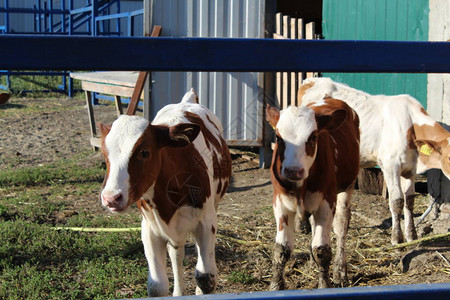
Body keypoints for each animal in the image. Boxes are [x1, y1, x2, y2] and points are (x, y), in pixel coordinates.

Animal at [100, 88, 230, 296]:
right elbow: (157, 285)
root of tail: (187, 101)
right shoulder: (150, 228)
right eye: (105, 154)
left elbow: (206, 278)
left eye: (144, 152)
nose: (111, 198)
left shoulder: (206, 222)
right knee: (176, 253)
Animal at [266, 97, 360, 290]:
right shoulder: (279, 202)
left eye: (313, 137)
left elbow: (322, 250)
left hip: (347, 188)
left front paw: (324, 284)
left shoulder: (326, 202)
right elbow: (281, 248)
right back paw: (311, 264)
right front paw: (276, 286)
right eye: (278, 138)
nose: (293, 171)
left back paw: (340, 271)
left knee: (341, 228)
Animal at [298, 78, 450, 246]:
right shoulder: (391, 165)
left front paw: (411, 236)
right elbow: (397, 201)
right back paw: (303, 227)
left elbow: (409, 201)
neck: (410, 124)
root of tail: (312, 80)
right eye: (449, 157)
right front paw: (397, 238)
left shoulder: (410, 168)